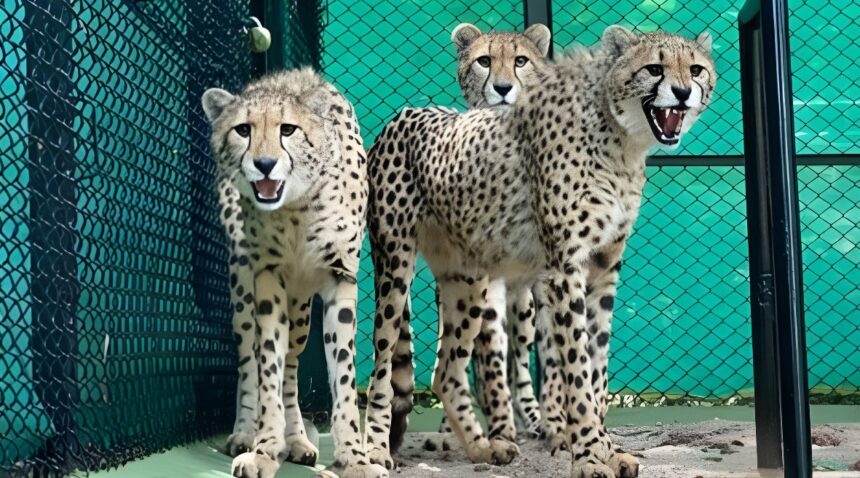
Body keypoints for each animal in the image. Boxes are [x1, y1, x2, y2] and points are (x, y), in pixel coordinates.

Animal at [202, 69, 387, 478]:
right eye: (243, 129)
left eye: (288, 129)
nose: (265, 163)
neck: (297, 208)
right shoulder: (267, 279)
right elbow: (267, 367)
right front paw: (263, 449)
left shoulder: (339, 279)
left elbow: (342, 376)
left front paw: (355, 457)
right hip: (243, 289)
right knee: (249, 356)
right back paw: (246, 432)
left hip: (302, 309)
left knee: (292, 363)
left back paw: (298, 440)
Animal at [362, 26, 715, 478]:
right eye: (654, 68)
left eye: (695, 69)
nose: (683, 92)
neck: (620, 138)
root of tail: (405, 112)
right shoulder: (565, 266)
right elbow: (575, 370)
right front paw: (588, 456)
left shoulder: (604, 268)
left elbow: (596, 368)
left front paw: (606, 448)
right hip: (395, 268)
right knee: (383, 364)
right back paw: (375, 450)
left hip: (468, 280)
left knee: (446, 371)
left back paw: (483, 448)